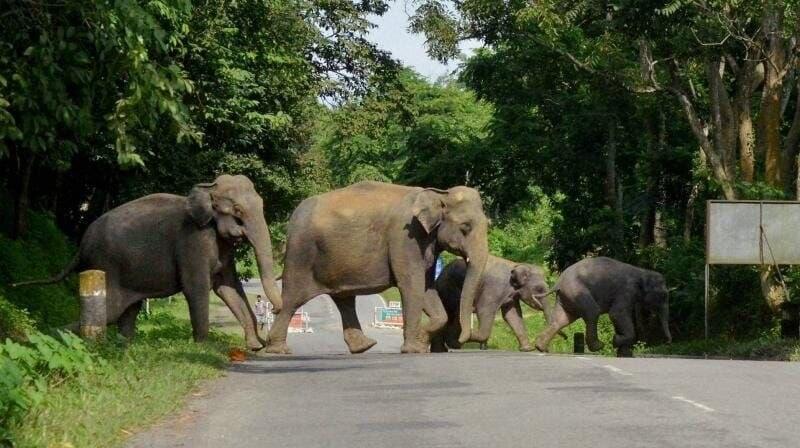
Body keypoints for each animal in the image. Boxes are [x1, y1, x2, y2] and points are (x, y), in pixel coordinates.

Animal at [13, 174, 281, 350]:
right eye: (237, 211)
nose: (268, 341)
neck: (207, 188)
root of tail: (80, 247)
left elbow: (228, 287)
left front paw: (254, 346)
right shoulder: (193, 240)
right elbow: (196, 288)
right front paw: (204, 348)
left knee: (127, 311)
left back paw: (124, 348)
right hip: (105, 266)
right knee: (110, 311)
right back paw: (35, 338)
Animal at [265, 181, 489, 354]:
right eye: (465, 227)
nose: (459, 340)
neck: (439, 193)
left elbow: (426, 286)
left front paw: (422, 340)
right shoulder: (405, 237)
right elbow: (412, 285)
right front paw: (414, 349)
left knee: (344, 299)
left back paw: (364, 346)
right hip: (301, 253)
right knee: (293, 298)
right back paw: (278, 350)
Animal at [534, 257, 672, 357]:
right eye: (664, 295)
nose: (668, 341)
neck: (642, 271)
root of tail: (558, 282)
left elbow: (618, 317)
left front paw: (625, 354)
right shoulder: (626, 290)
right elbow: (617, 313)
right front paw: (615, 341)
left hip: (566, 297)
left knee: (561, 320)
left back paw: (540, 347)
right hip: (577, 291)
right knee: (592, 312)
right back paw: (599, 346)